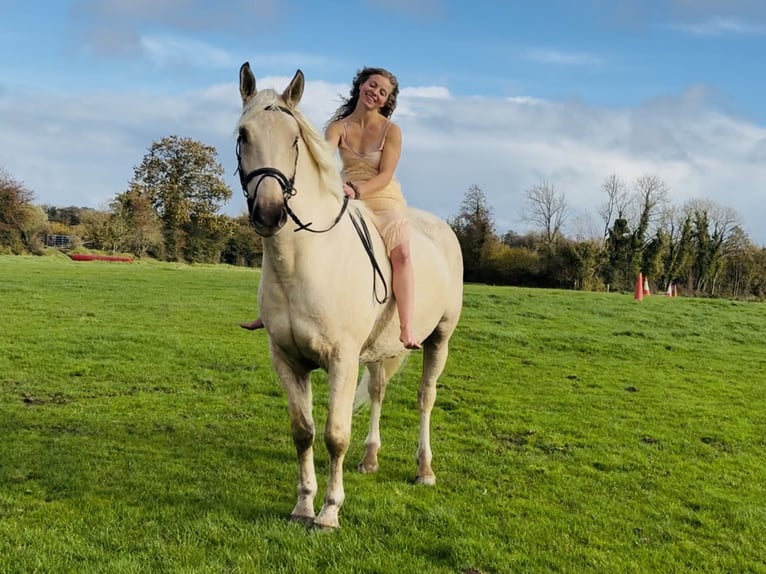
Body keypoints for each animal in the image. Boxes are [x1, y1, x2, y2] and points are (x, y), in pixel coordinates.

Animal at [235, 62, 463, 529]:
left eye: (294, 139)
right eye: (243, 135)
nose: (269, 212)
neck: (303, 262)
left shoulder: (341, 359)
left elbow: (335, 435)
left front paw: (328, 513)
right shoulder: (287, 360)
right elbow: (303, 432)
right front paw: (303, 505)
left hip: (439, 340)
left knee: (425, 398)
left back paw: (424, 469)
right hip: (377, 350)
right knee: (377, 392)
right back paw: (371, 458)